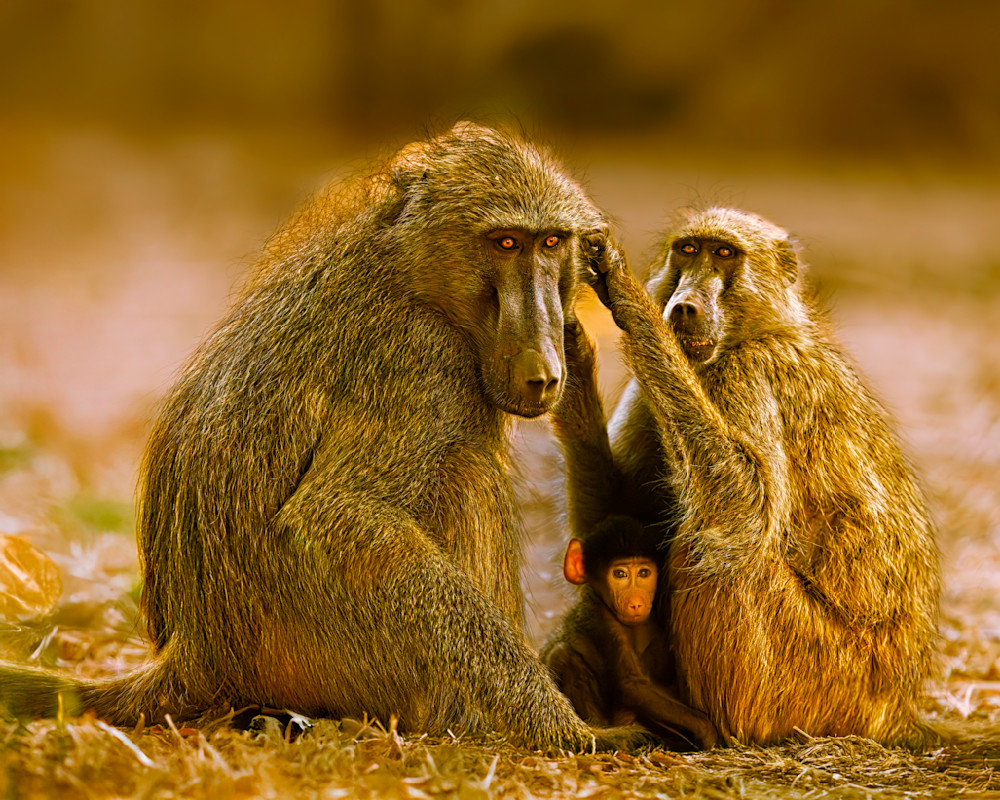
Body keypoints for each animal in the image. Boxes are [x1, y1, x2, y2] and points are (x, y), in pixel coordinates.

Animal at [0, 123, 649, 752]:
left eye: (551, 244)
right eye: (506, 243)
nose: (545, 369)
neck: (413, 273)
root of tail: (198, 656)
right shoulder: (420, 360)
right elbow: (335, 515)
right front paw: (561, 727)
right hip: (333, 657)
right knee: (464, 470)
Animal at [540, 514, 719, 750]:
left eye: (643, 573)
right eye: (620, 574)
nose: (636, 603)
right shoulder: (601, 619)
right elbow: (630, 684)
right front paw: (705, 729)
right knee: (562, 654)